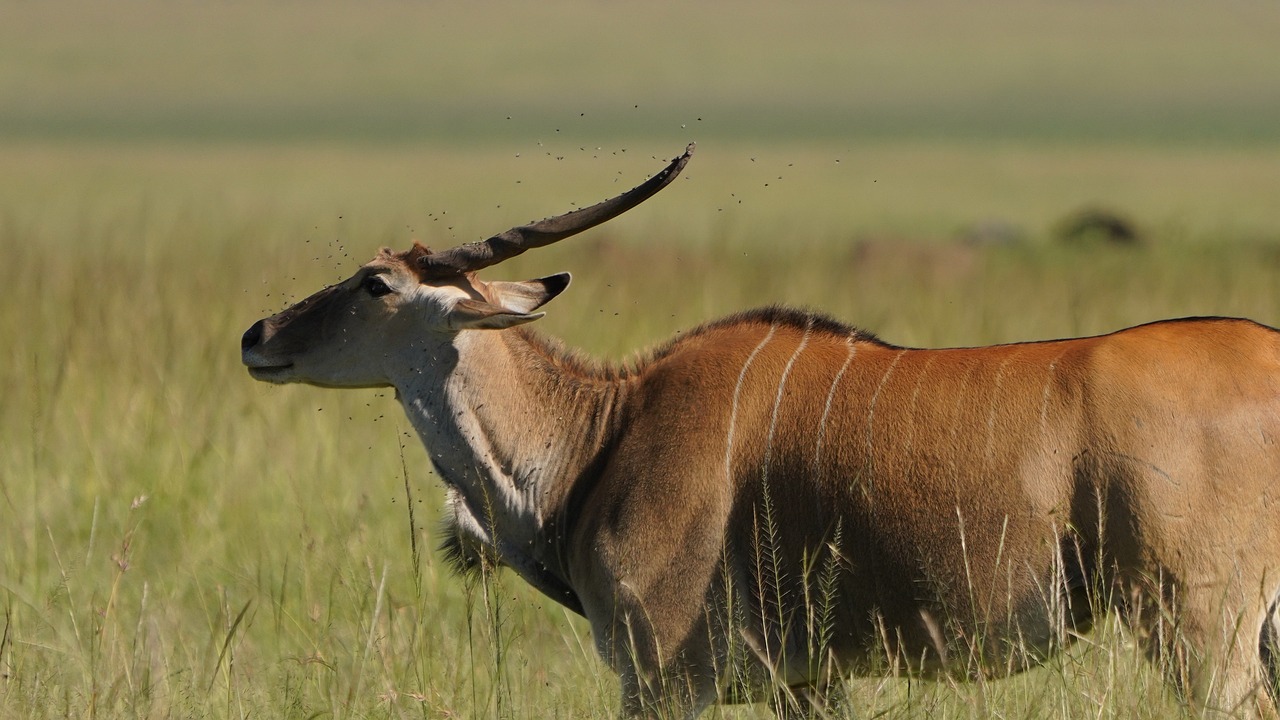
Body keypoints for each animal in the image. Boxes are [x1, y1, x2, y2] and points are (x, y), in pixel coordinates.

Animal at [244, 142, 1280, 712]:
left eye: (375, 284)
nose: (259, 337)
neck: (603, 433)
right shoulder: (806, 684)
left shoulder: (660, 682)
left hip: (1200, 633)